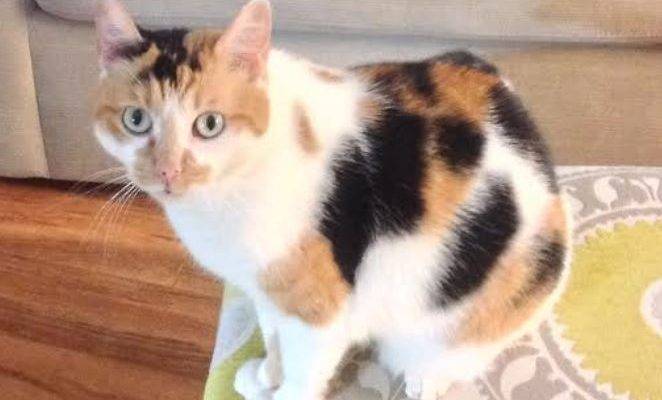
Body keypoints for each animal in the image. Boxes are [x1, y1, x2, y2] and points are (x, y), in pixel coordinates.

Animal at [92, 1, 571, 399]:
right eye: (135, 120)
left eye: (209, 124)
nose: (167, 171)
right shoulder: (268, 290)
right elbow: (273, 336)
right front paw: (265, 375)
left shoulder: (319, 312)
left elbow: (303, 375)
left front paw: (280, 390)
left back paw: (425, 377)